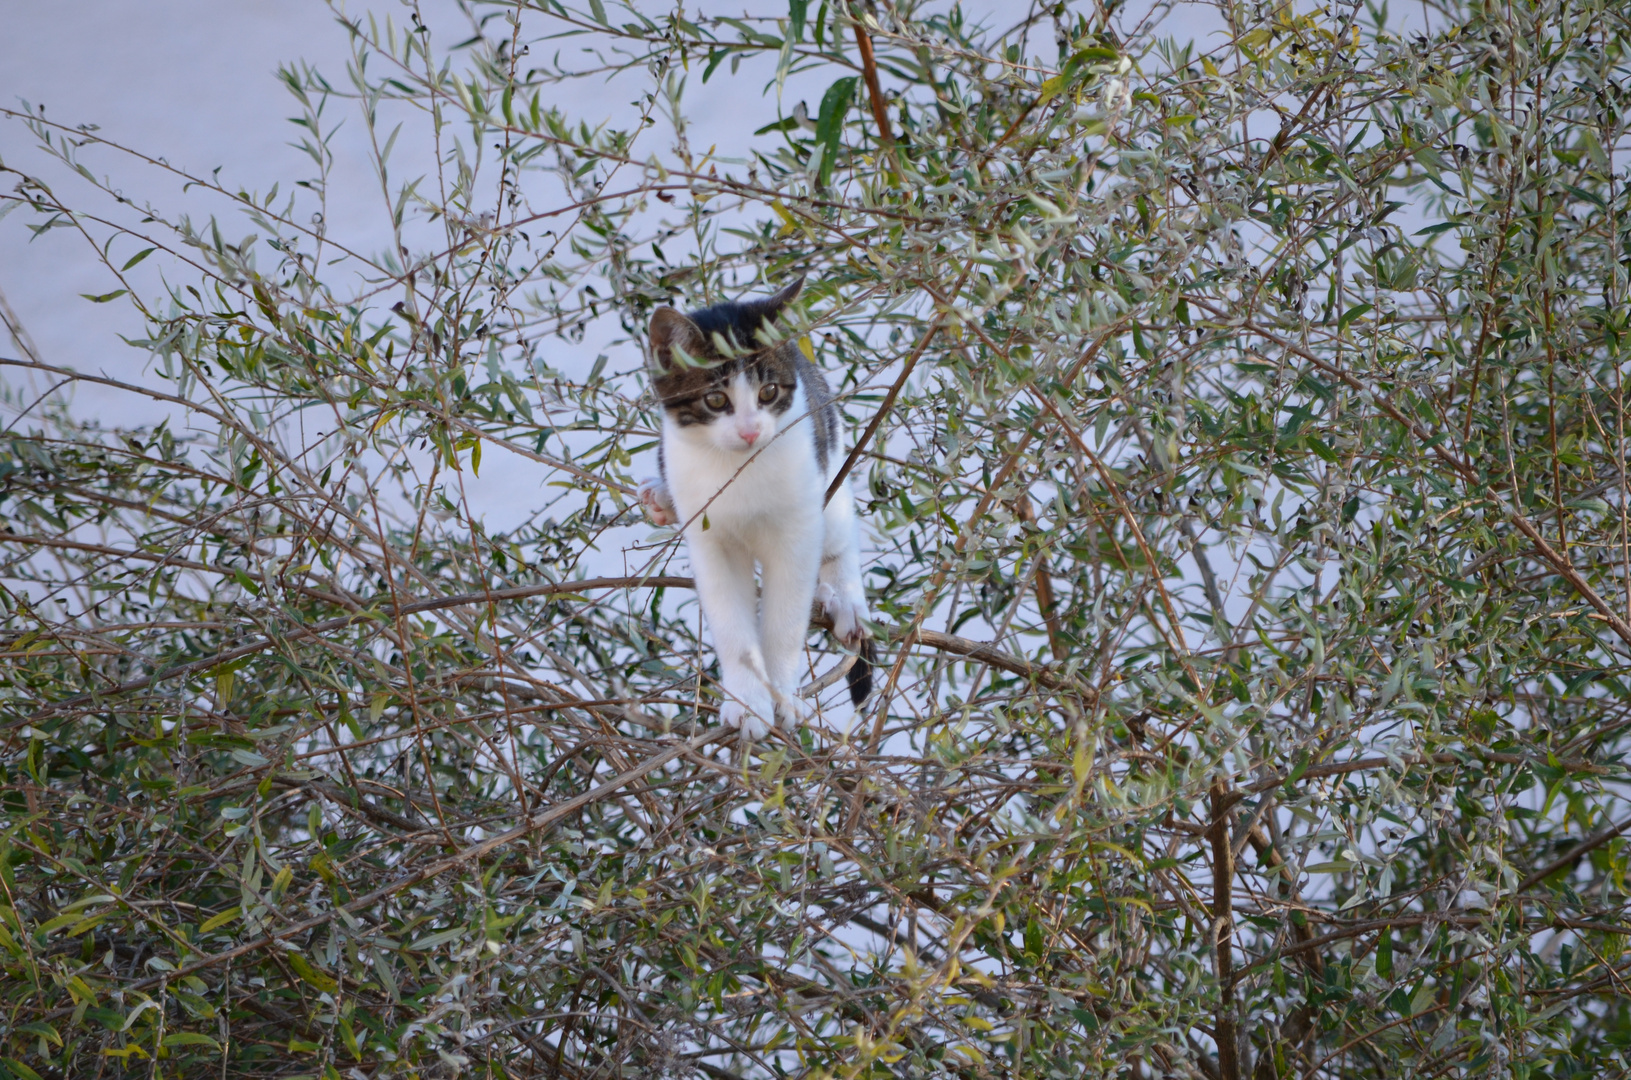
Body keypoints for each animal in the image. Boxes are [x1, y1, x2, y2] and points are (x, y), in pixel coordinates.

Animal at [636, 275, 874, 740]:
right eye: (715, 400)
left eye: (769, 391)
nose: (749, 432)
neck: (739, 469)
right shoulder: (711, 540)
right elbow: (730, 621)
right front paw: (747, 702)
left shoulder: (797, 528)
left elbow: (785, 617)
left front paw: (783, 695)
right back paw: (661, 498)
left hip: (828, 464)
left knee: (840, 536)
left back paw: (845, 599)